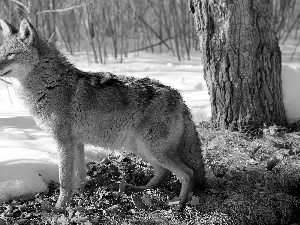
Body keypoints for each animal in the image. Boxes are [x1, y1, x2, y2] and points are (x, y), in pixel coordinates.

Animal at [0, 18, 205, 209]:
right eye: (1, 53)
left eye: (11, 54)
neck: (50, 84)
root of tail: (179, 97)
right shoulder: (77, 143)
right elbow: (79, 175)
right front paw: (80, 195)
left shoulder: (63, 142)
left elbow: (64, 180)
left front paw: (60, 207)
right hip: (141, 148)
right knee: (164, 172)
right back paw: (141, 189)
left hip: (150, 149)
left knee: (188, 173)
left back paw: (179, 202)